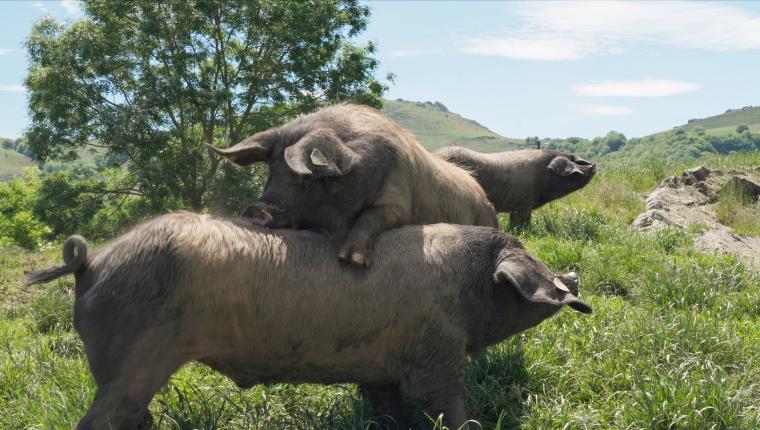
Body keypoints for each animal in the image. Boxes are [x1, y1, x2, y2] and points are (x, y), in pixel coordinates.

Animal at [26, 212, 592, 430]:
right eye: (528, 259)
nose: (573, 278)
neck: (463, 286)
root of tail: (89, 263)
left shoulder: (380, 368)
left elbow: (388, 408)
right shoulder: (436, 356)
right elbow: (449, 407)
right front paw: (470, 425)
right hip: (130, 362)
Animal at [206, 103, 498, 268]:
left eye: (308, 176)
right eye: (271, 170)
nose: (255, 210)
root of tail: (486, 200)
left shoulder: (398, 199)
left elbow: (372, 216)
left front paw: (351, 261)